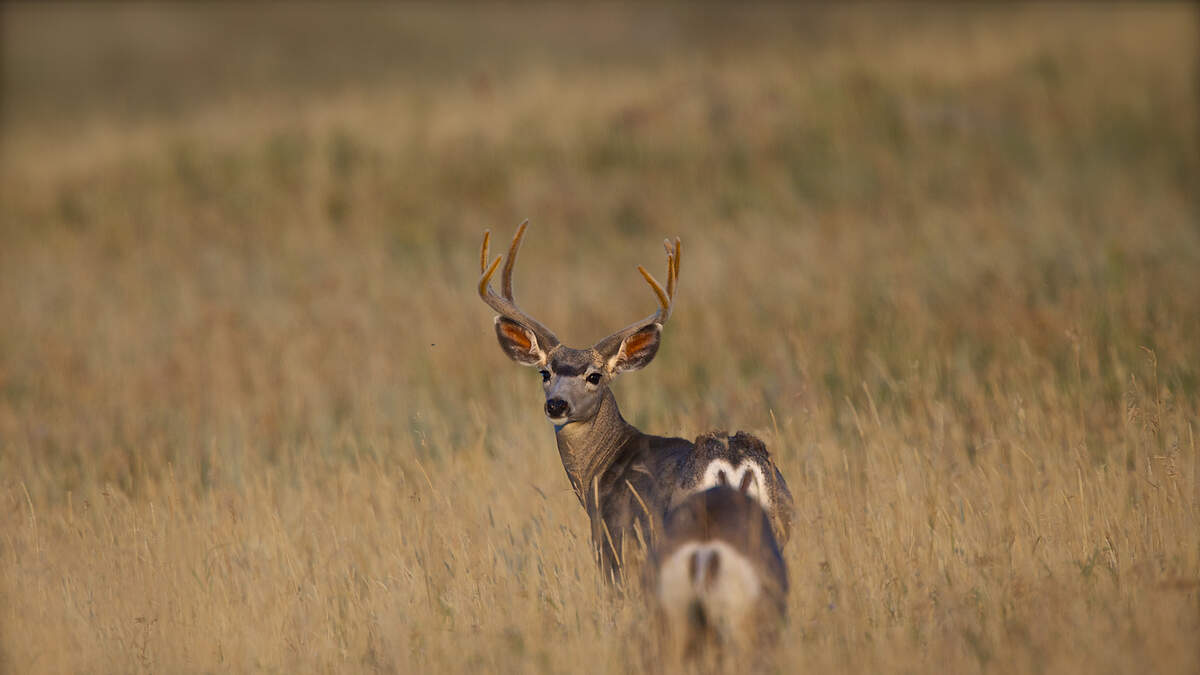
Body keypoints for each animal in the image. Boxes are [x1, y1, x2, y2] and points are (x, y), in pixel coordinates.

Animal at [472, 222, 792, 583]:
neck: (598, 472)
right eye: (545, 372)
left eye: (594, 376)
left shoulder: (613, 541)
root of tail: (733, 464)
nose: (556, 405)